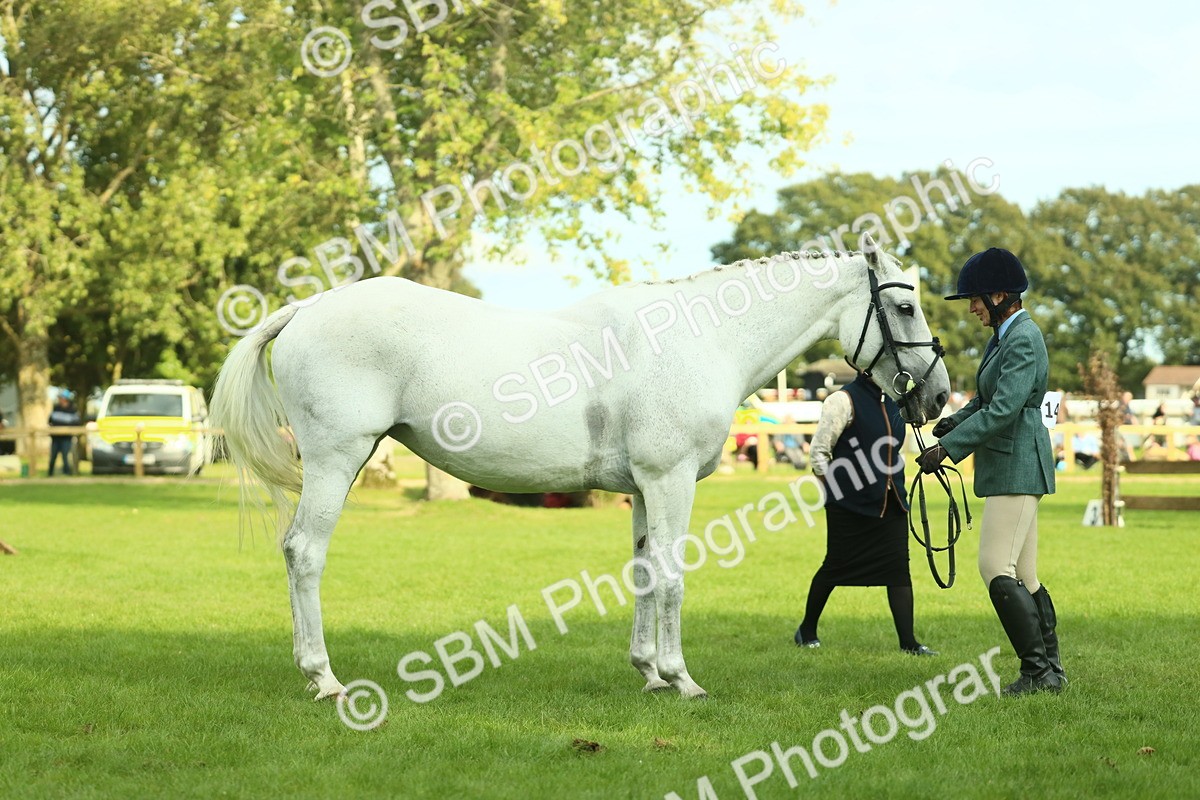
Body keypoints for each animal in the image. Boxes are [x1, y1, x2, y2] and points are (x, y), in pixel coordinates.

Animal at [207, 232, 951, 701]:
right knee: (305, 553)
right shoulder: (671, 481)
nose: (938, 396)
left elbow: (645, 574)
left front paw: (648, 673)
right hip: (337, 460)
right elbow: (673, 577)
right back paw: (324, 679)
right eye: (905, 305)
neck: (703, 339)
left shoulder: (645, 489)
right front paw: (682, 679)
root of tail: (309, 307)